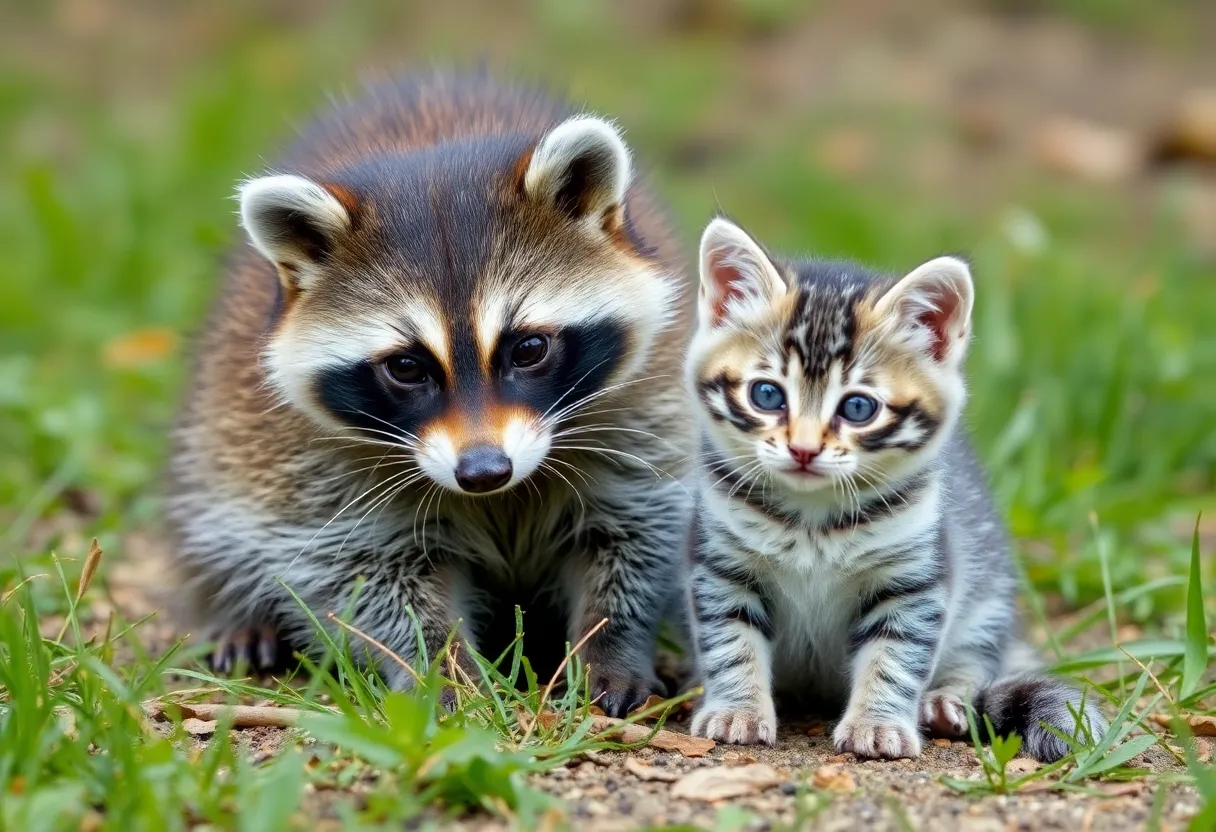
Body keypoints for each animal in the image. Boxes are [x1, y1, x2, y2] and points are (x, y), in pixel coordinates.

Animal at [166, 72, 693, 716]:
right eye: (407, 367)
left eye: (528, 348)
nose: (484, 471)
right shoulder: (320, 473)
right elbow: (369, 577)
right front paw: (442, 668)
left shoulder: (649, 409)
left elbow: (634, 535)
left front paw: (611, 641)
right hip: (221, 427)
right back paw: (242, 616)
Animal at [682, 216, 1106, 761]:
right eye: (767, 395)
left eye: (858, 408)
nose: (803, 450)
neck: (812, 520)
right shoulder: (721, 566)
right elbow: (730, 642)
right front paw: (737, 709)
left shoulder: (914, 578)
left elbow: (896, 657)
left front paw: (877, 722)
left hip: (987, 594)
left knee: (977, 654)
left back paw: (946, 698)